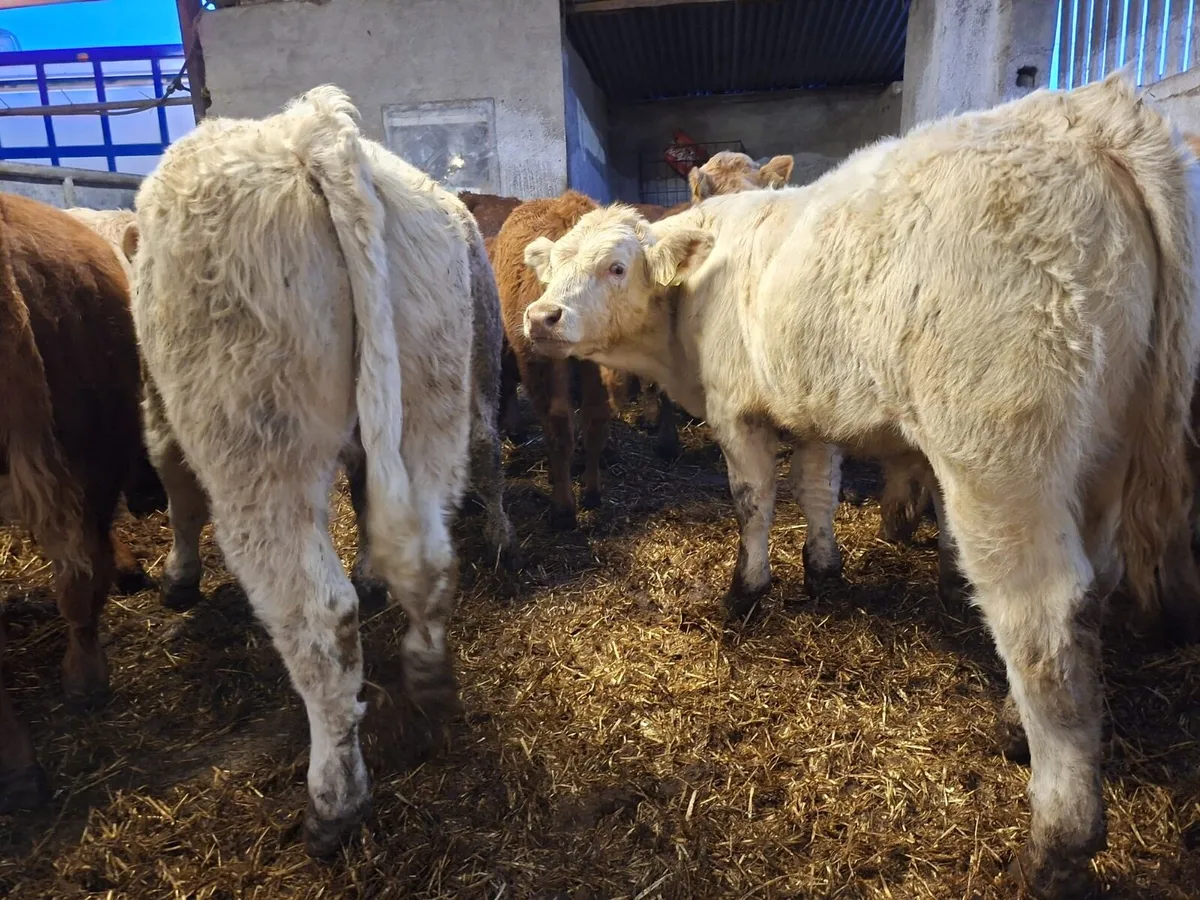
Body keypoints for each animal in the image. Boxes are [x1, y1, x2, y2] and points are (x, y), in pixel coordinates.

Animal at [132, 86, 479, 856]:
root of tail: (314, 128)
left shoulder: (161, 411)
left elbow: (174, 485)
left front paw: (177, 579)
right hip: (432, 406)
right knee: (432, 559)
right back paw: (429, 684)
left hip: (257, 449)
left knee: (320, 620)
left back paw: (333, 801)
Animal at [519, 72, 1200, 897]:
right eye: (551, 268)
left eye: (617, 266)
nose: (541, 315)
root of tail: (1089, 110)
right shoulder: (809, 409)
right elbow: (817, 489)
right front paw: (823, 573)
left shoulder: (737, 411)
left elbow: (753, 503)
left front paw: (745, 594)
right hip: (1104, 454)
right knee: (1093, 591)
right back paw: (1013, 726)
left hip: (1003, 461)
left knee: (1044, 628)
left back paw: (1055, 844)